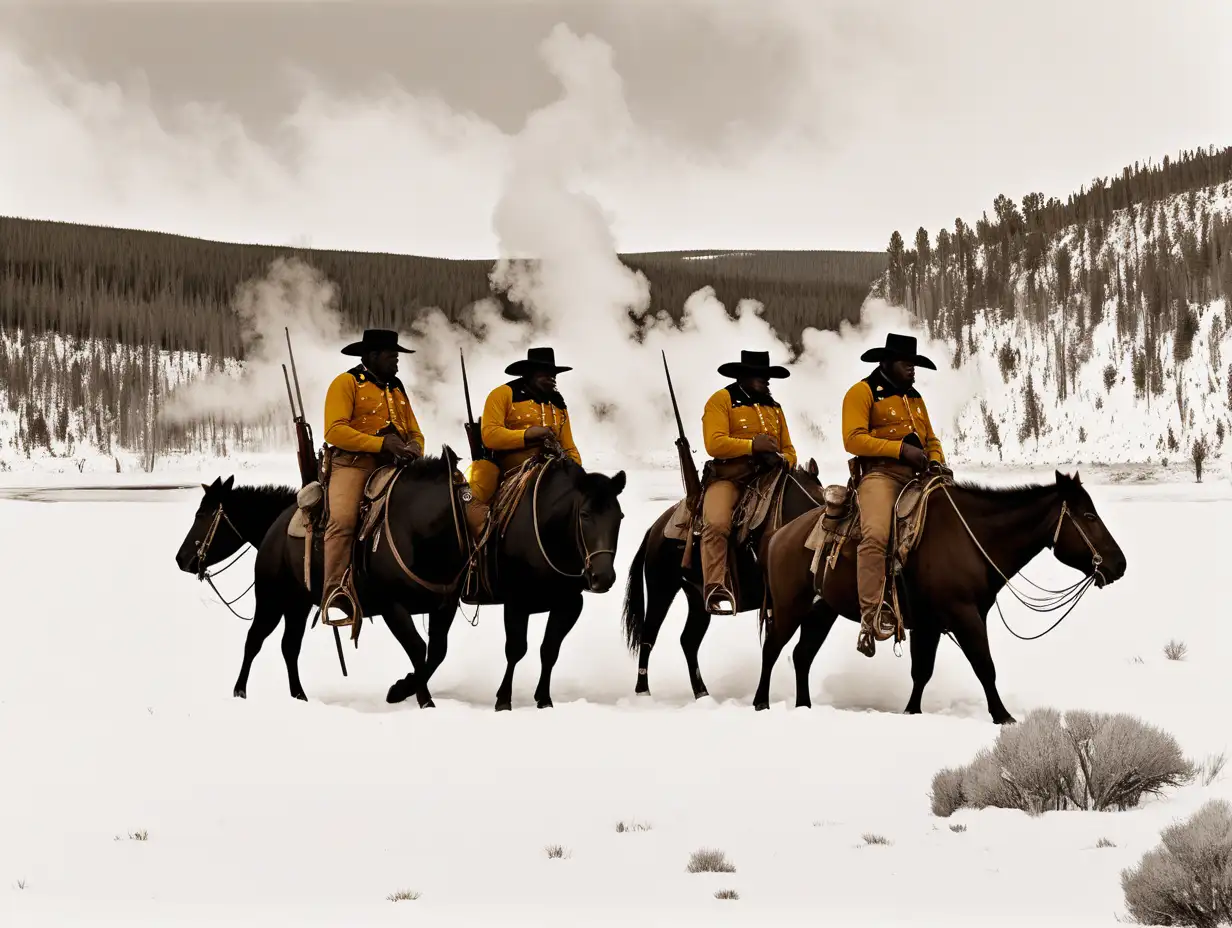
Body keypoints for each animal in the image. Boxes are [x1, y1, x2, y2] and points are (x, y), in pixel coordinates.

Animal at [176, 448, 473, 700]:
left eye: (202, 514)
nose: (180, 558)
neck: (412, 528)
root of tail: (277, 527)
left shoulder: (443, 606)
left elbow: (434, 652)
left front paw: (408, 690)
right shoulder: (393, 608)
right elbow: (419, 650)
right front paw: (412, 695)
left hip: (294, 603)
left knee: (286, 645)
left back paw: (298, 696)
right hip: (273, 599)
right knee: (257, 639)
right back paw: (241, 692)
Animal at [396, 453, 625, 709]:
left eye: (619, 517)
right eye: (584, 515)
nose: (603, 577)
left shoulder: (569, 604)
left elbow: (549, 649)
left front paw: (544, 699)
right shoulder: (517, 603)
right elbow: (516, 649)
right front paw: (504, 699)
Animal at [620, 460, 822, 700]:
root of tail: (655, 529)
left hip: (697, 599)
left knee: (688, 640)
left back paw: (702, 693)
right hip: (661, 589)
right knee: (649, 634)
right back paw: (643, 691)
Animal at [749, 465, 1128, 719]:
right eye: (1089, 516)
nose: (1119, 564)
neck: (972, 537)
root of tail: (778, 537)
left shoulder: (929, 625)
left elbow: (922, 672)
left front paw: (911, 712)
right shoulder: (965, 615)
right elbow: (984, 666)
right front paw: (1003, 717)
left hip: (821, 611)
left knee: (801, 655)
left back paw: (804, 706)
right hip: (789, 608)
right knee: (771, 650)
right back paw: (761, 702)